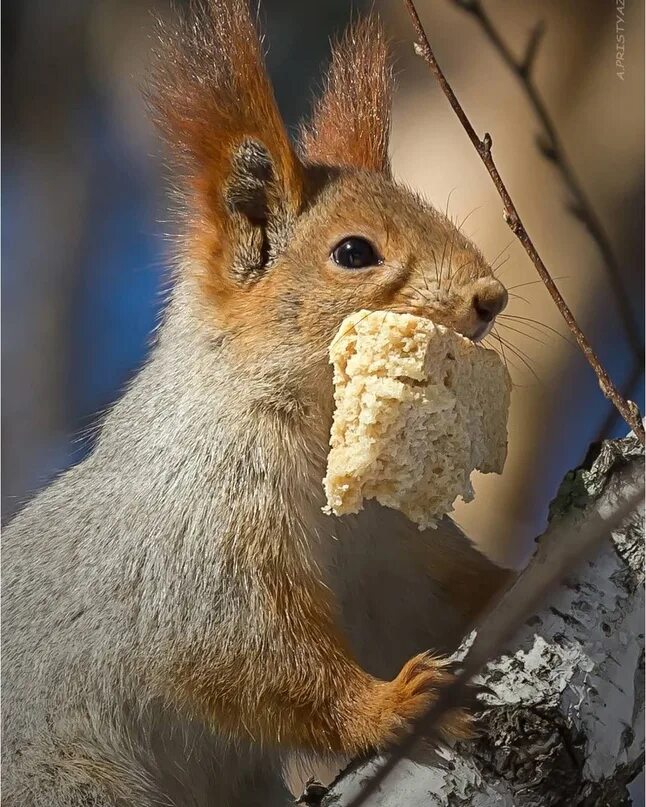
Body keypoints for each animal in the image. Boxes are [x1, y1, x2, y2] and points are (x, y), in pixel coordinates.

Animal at [2, 3, 512, 804]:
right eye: (355, 252)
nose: (490, 297)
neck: (316, 431)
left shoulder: (389, 555)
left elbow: (437, 594)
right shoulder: (196, 543)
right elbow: (251, 658)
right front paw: (389, 706)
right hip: (67, 784)